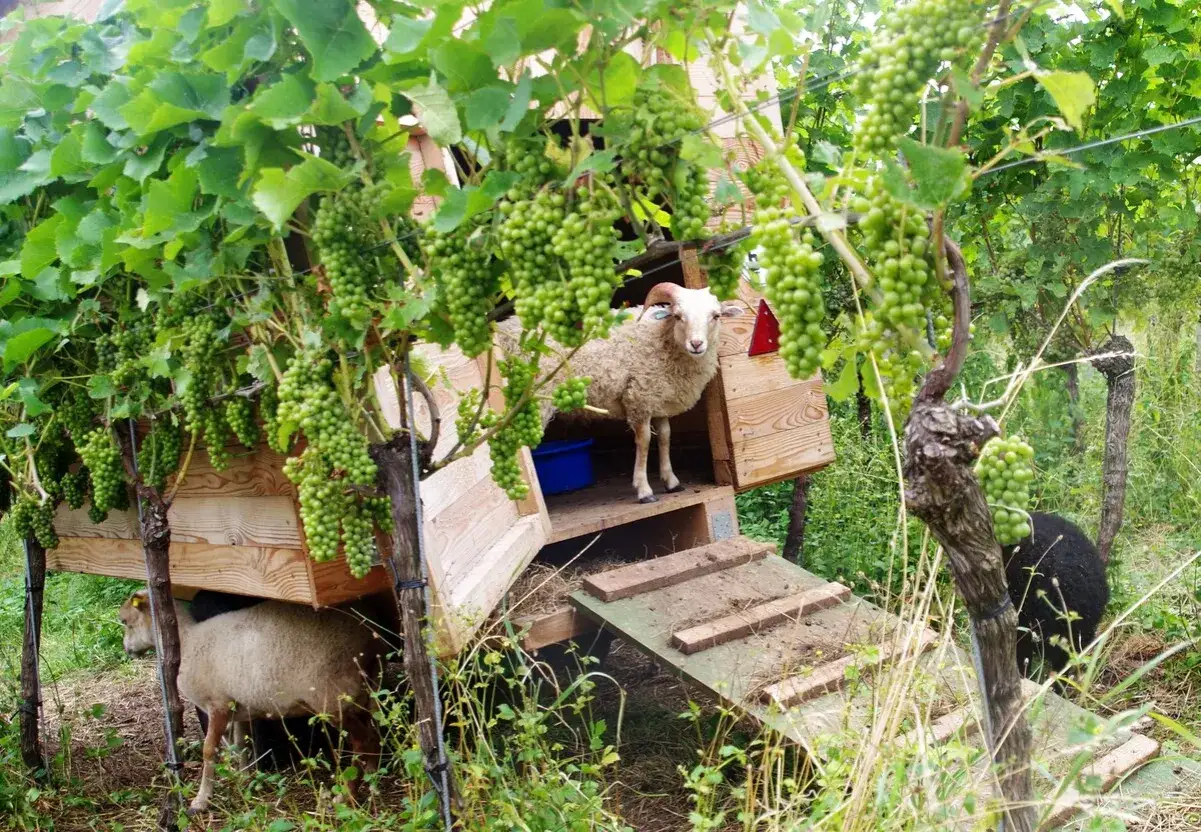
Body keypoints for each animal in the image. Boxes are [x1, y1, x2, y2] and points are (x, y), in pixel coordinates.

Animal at [119, 589, 386, 814]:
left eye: (124, 621)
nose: (127, 651)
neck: (187, 642)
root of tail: (368, 634)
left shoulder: (218, 704)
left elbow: (209, 750)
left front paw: (201, 799)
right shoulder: (238, 709)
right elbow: (240, 746)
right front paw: (244, 779)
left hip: (331, 698)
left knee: (362, 741)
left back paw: (347, 797)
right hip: (363, 689)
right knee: (373, 733)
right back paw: (373, 779)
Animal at [499, 282, 744, 503]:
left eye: (716, 316)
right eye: (677, 316)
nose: (696, 344)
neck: (661, 338)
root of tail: (505, 332)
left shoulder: (658, 397)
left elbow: (665, 436)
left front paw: (671, 481)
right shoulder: (639, 396)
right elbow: (644, 441)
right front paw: (644, 491)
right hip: (533, 398)